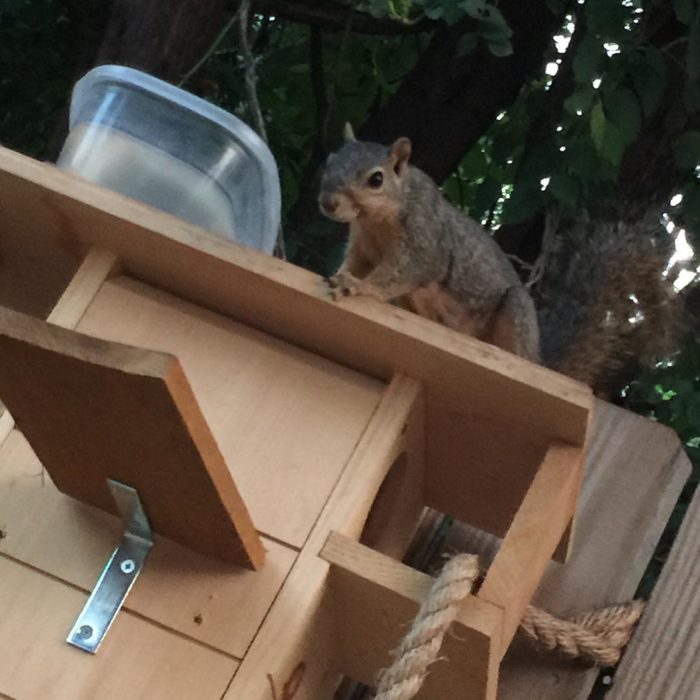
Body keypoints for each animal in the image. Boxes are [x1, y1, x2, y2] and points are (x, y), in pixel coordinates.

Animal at [318, 131, 684, 394]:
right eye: (329, 161)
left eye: (376, 180)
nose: (328, 203)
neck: (376, 222)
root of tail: (539, 359)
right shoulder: (363, 247)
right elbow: (353, 263)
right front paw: (339, 277)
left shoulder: (425, 241)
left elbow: (399, 273)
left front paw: (360, 287)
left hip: (514, 315)